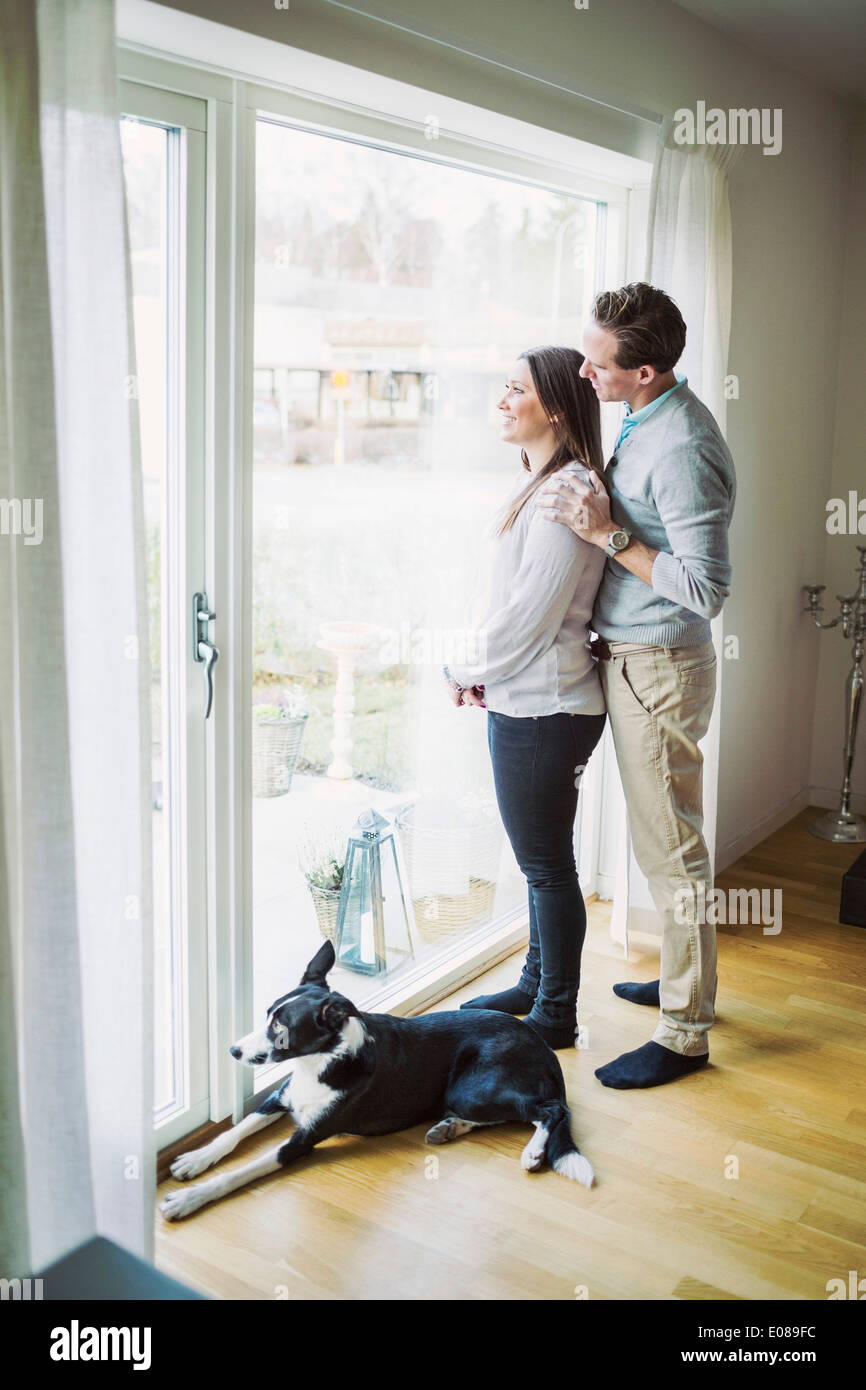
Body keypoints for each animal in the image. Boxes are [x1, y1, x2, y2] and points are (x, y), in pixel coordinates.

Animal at [159, 939, 592, 1223]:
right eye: (266, 1014)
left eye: (281, 1029)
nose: (233, 1051)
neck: (319, 1063)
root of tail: (543, 1047)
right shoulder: (279, 1099)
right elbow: (232, 1134)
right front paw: (196, 1159)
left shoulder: (302, 1141)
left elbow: (239, 1172)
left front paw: (188, 1199)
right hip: (466, 1095)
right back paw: (450, 1127)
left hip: (472, 1088)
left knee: (550, 1109)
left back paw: (532, 1151)